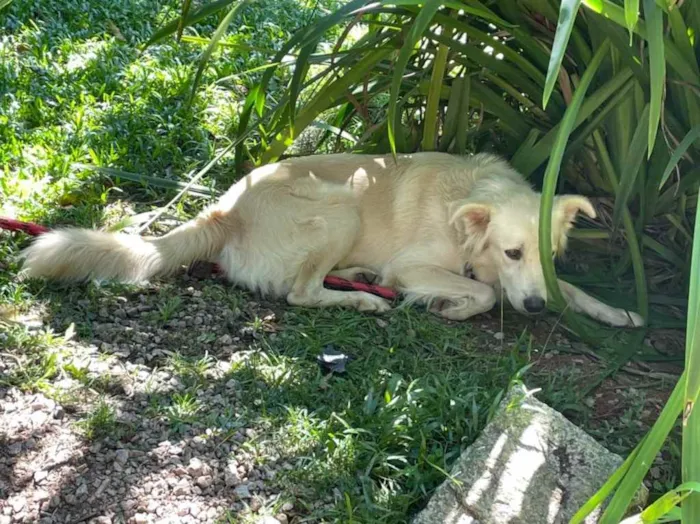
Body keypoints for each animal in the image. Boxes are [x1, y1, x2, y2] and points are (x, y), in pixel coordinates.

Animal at [19, 151, 644, 328]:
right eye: (512, 251)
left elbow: (573, 290)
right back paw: (366, 299)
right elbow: (485, 293)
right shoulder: (413, 266)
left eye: (549, 255)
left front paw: (619, 313)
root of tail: (225, 208)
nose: (536, 309)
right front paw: (451, 305)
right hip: (341, 206)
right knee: (300, 292)